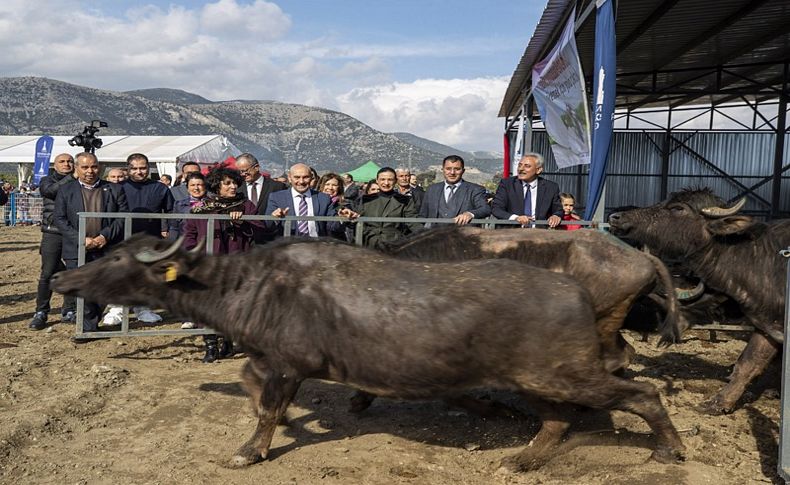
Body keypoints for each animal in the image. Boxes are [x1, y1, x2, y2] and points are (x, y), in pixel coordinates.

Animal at [51, 236, 688, 470]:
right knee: (557, 419)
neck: (251, 285)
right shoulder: (271, 362)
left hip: (562, 373)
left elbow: (267, 408)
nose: (61, 278)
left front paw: (250, 451)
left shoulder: (287, 365)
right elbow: (252, 387)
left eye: (117, 258)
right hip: (543, 377)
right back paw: (524, 458)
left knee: (640, 391)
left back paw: (670, 449)